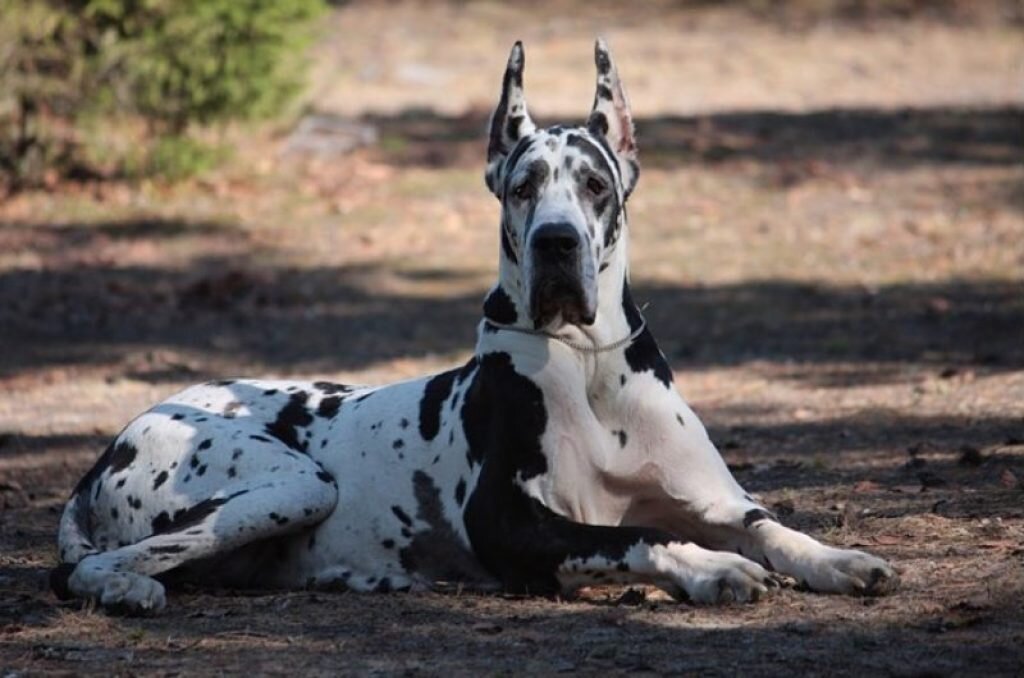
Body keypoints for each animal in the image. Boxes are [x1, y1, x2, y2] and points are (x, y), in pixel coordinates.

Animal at [49, 42, 897, 614]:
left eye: (595, 184)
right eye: (523, 187)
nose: (556, 240)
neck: (588, 365)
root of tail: (110, 445)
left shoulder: (717, 502)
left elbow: (772, 527)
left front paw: (839, 557)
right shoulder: (512, 523)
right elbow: (631, 537)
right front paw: (712, 570)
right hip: (296, 483)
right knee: (89, 567)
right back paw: (125, 590)